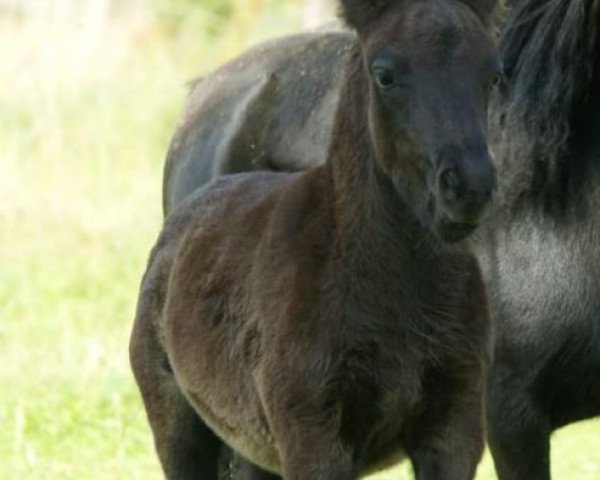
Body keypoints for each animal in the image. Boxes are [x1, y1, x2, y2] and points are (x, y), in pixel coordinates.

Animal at [132, 0, 502, 480]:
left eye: (493, 73)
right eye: (384, 73)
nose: (469, 188)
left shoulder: (455, 425)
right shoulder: (311, 432)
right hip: (179, 426)